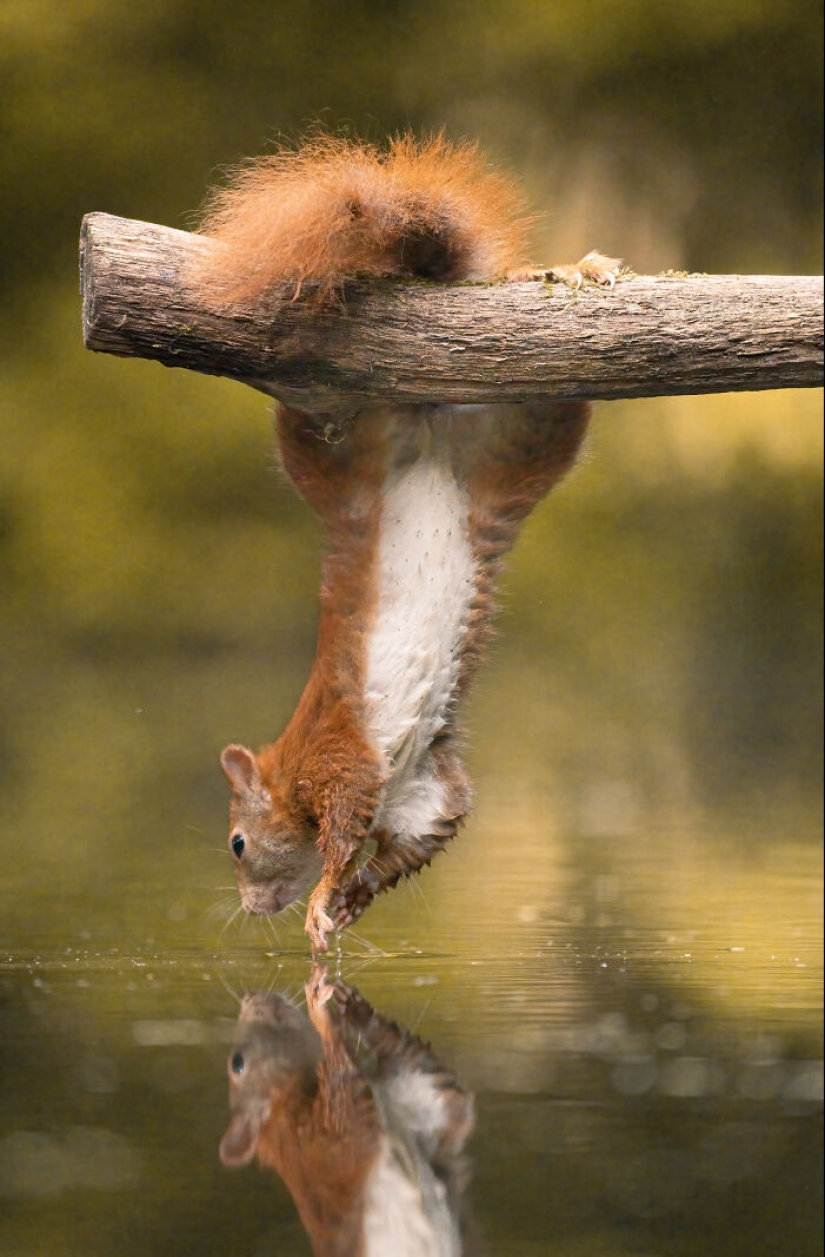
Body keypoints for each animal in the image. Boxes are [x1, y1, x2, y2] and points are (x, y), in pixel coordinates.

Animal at [196, 134, 620, 952]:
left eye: (236, 843)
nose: (252, 908)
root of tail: (422, 422)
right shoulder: (424, 793)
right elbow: (410, 844)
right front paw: (353, 899)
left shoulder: (339, 759)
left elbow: (341, 835)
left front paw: (323, 898)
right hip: (516, 444)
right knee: (557, 398)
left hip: (343, 439)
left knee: (321, 408)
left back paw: (567, 271)